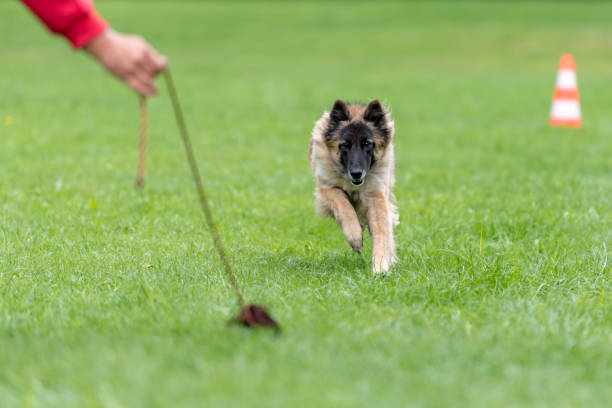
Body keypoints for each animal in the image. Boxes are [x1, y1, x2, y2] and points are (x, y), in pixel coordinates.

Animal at [308, 99, 400, 274]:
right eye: (345, 145)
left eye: (367, 143)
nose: (356, 173)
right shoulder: (327, 189)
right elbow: (344, 207)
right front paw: (355, 238)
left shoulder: (376, 197)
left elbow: (381, 232)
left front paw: (380, 266)